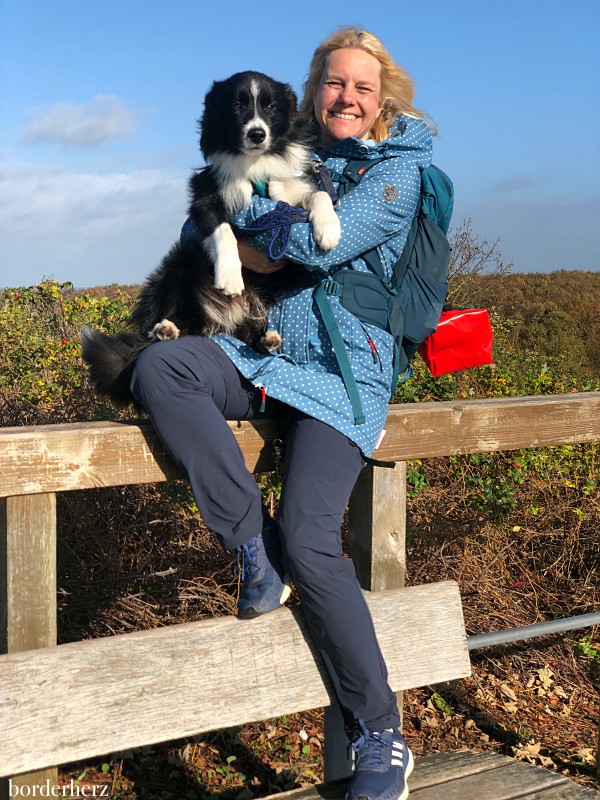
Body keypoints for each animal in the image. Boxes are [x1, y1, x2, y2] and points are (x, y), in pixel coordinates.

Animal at [81, 70, 340, 406]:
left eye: (270, 106)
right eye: (236, 105)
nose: (257, 134)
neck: (255, 164)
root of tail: (212, 321)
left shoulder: (291, 193)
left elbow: (318, 193)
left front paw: (329, 229)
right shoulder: (205, 195)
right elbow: (223, 230)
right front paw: (229, 276)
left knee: (247, 334)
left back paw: (267, 339)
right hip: (177, 268)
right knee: (159, 324)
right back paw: (166, 329)